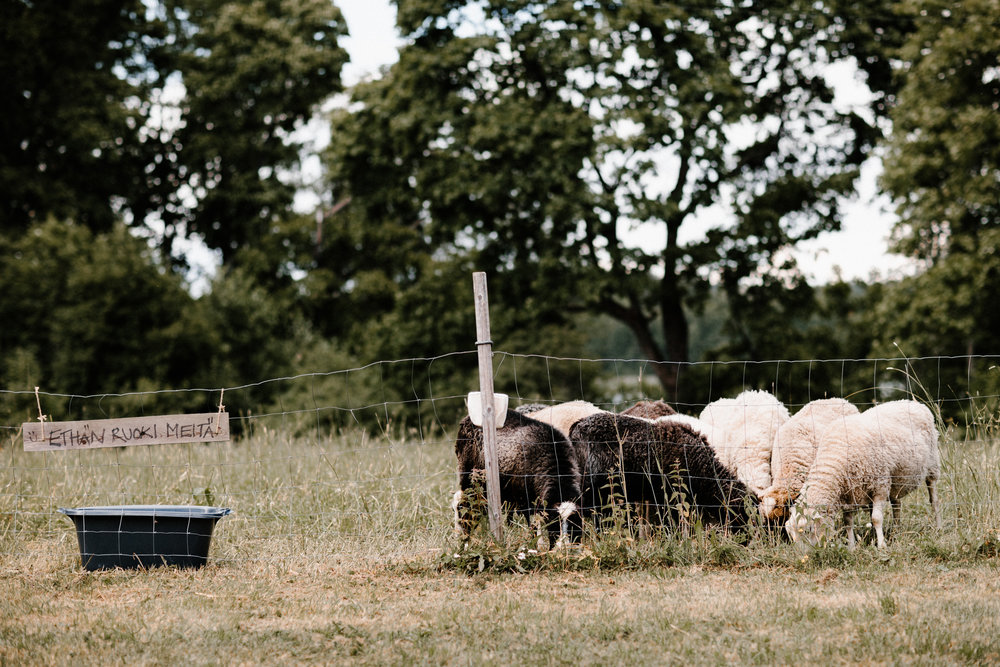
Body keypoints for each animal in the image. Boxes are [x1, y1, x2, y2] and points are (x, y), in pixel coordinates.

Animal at [452, 410, 584, 544]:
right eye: (554, 523)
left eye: (576, 524)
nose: (565, 548)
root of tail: (466, 419)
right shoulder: (526, 500)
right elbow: (534, 527)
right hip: (470, 477)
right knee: (464, 505)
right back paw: (462, 537)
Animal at [784, 400, 940, 552]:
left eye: (808, 529)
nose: (803, 557)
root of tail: (913, 402)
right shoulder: (849, 493)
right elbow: (848, 522)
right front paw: (851, 547)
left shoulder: (880, 485)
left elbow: (876, 518)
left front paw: (881, 546)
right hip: (896, 478)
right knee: (897, 504)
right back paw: (896, 531)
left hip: (932, 464)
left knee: (933, 499)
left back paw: (937, 525)